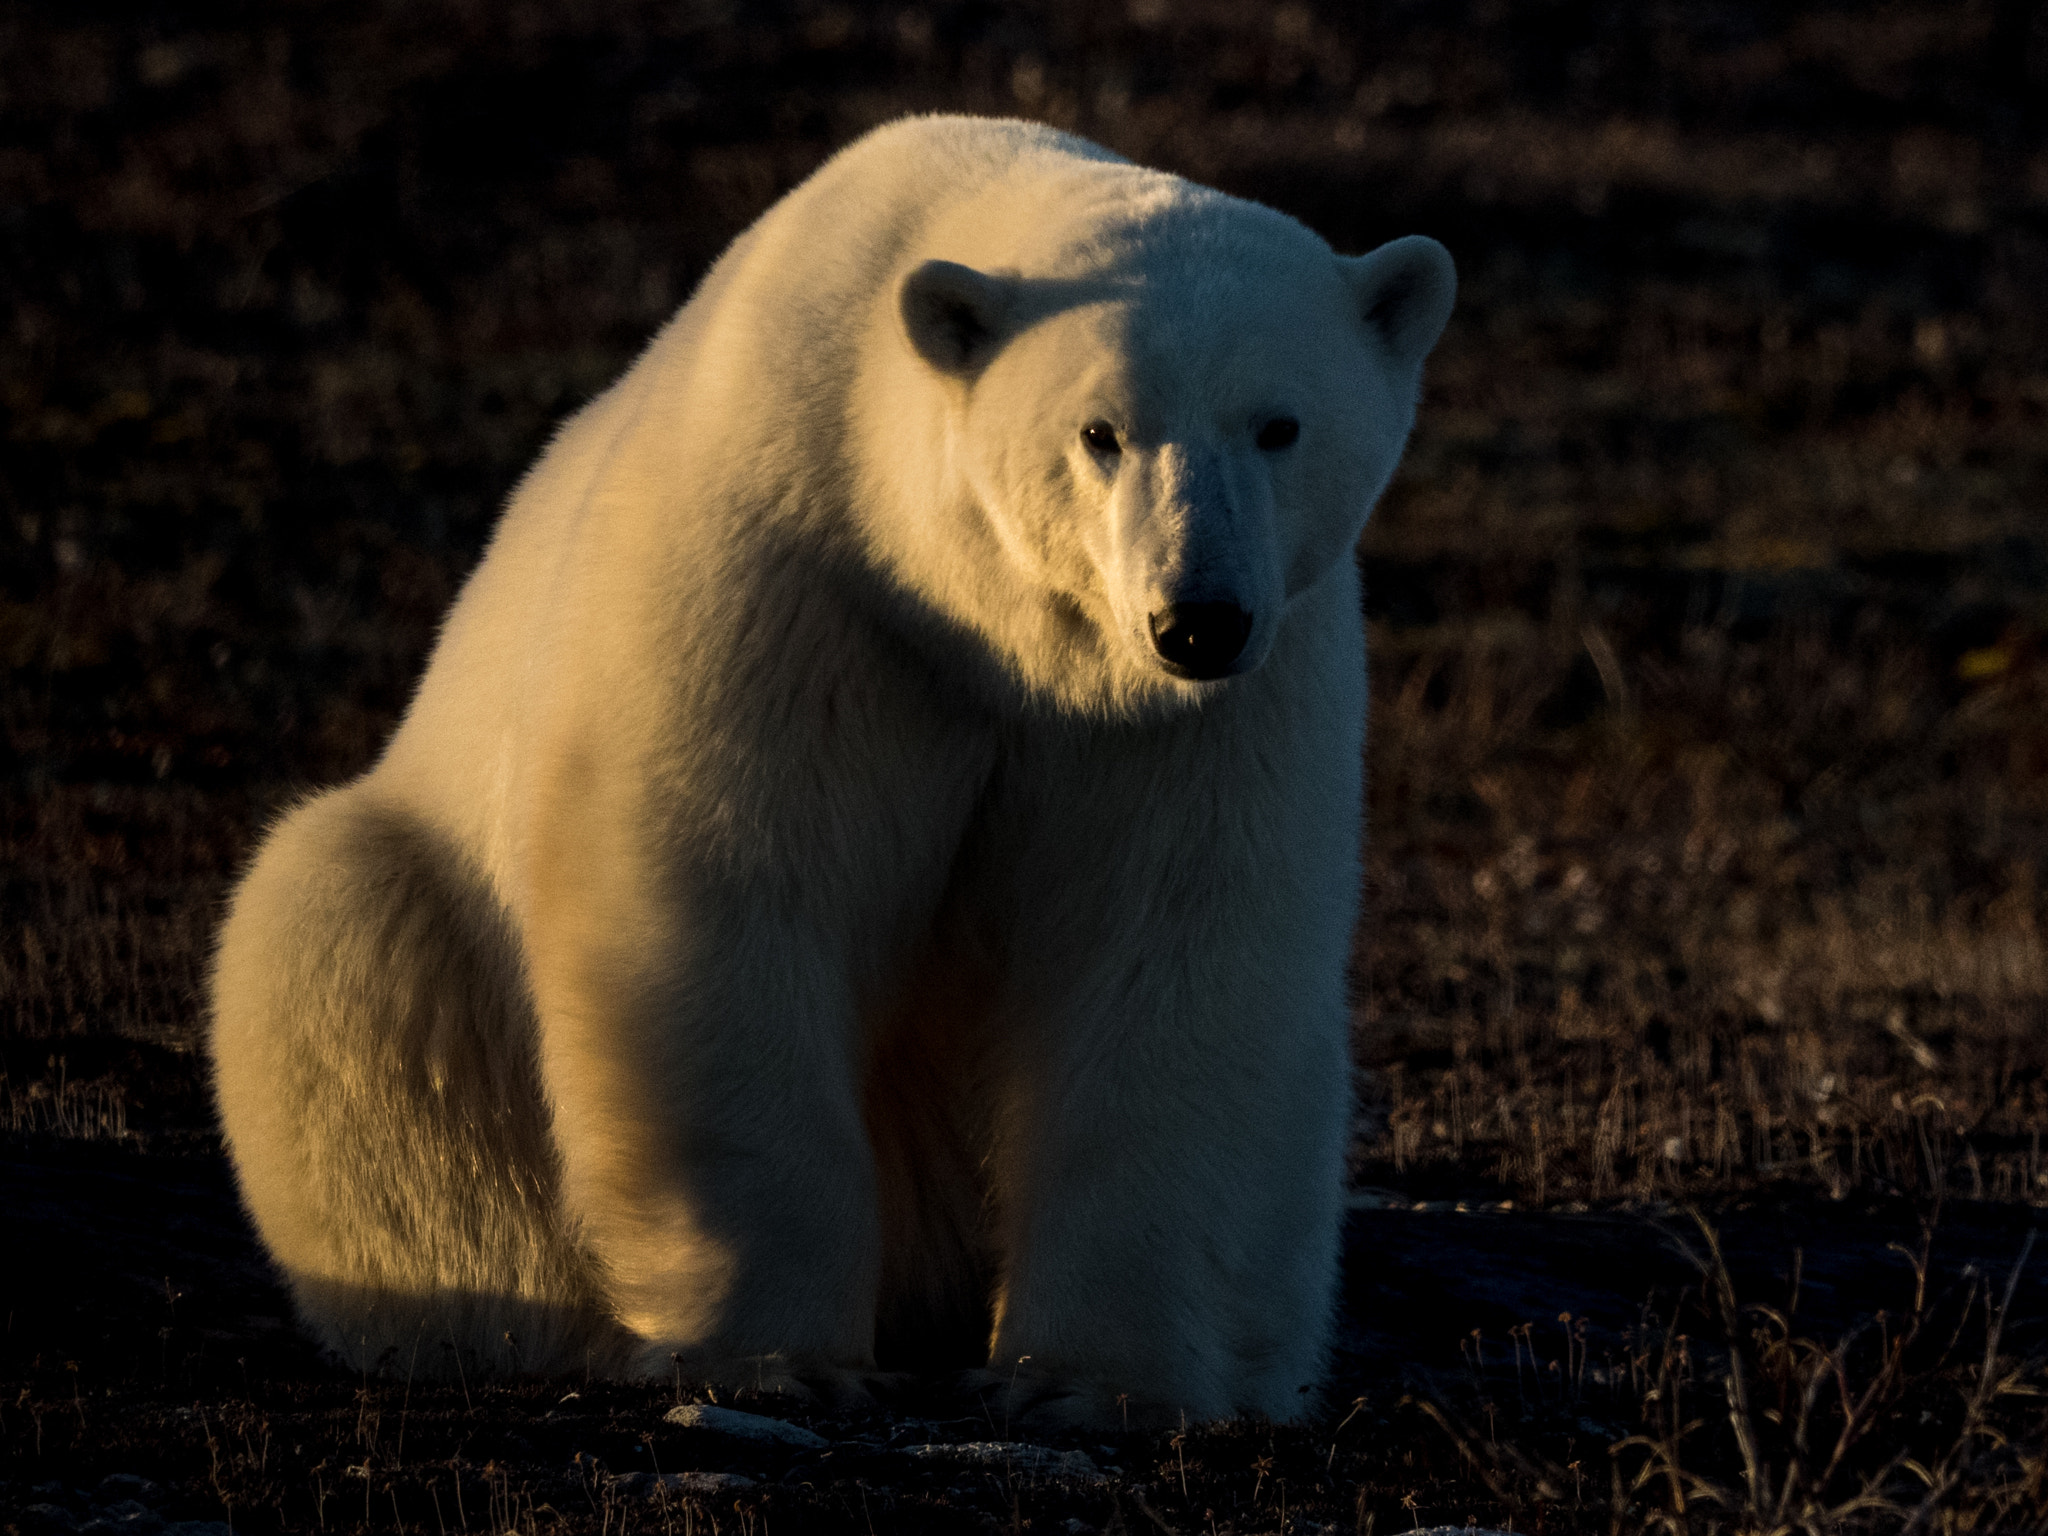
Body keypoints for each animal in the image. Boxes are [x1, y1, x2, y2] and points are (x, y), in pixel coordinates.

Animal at [211, 114, 1458, 1425]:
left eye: (1279, 424)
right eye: (1098, 432)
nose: (1196, 621)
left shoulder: (1207, 708)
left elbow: (1172, 949)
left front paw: (1092, 1381)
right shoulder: (798, 589)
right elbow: (731, 903)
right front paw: (778, 1355)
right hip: (422, 931)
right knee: (337, 946)